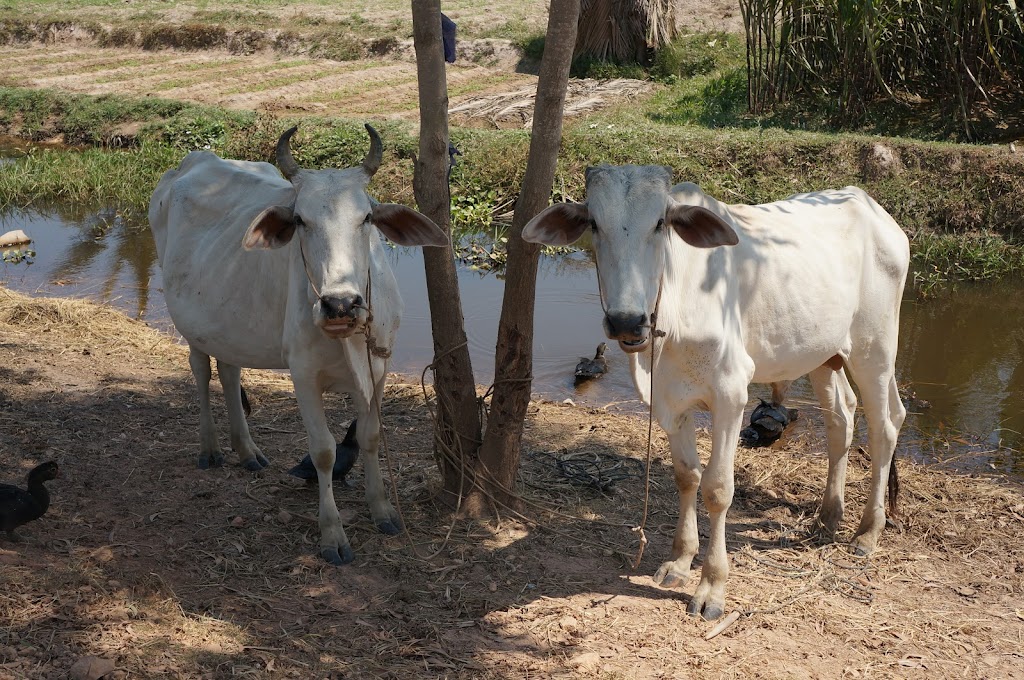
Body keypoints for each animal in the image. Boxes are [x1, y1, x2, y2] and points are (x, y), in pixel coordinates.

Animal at [524, 163, 909, 614]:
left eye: (660, 223)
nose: (626, 321)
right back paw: (828, 519)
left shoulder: (731, 395)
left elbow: (717, 488)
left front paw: (712, 586)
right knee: (842, 421)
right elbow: (686, 476)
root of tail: (872, 207)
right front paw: (679, 561)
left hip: (875, 349)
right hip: (822, 355)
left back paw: (867, 532)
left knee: (886, 425)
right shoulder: (669, 402)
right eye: (594, 224)